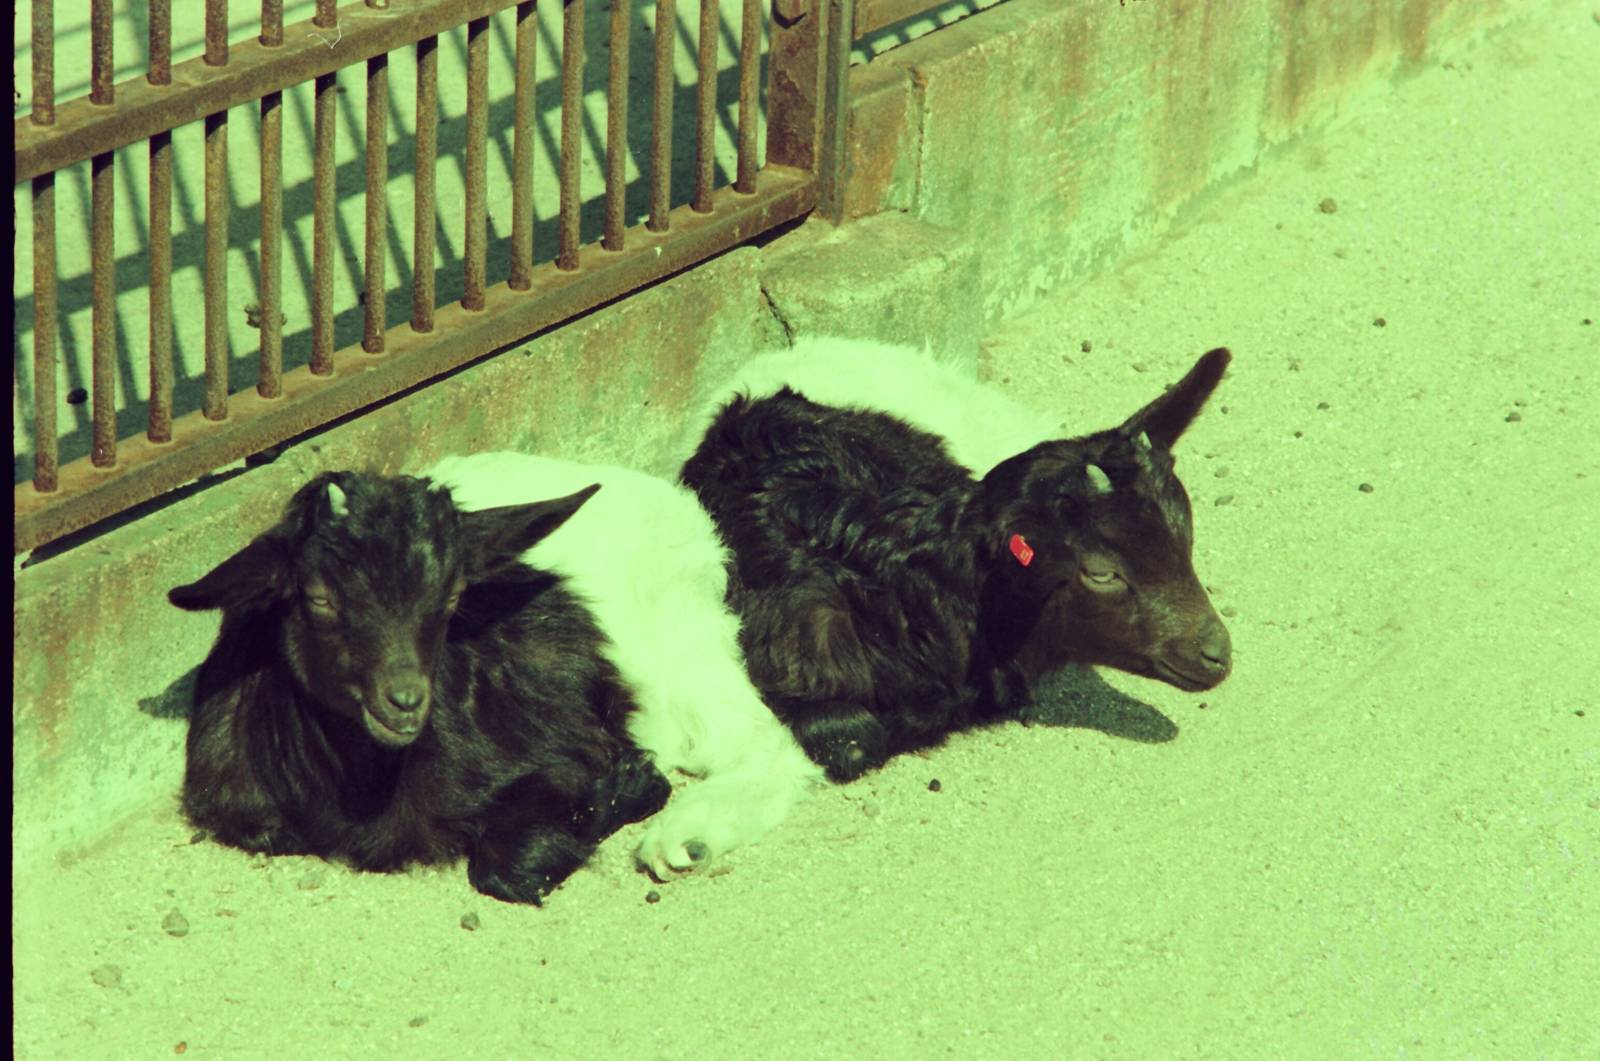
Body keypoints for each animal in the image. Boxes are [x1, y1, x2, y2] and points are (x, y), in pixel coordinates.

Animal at [170, 472, 671, 904]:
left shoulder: (552, 753)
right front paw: (633, 781)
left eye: (452, 596)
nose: (405, 702)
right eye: (319, 598)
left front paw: (633, 782)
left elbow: (505, 865)